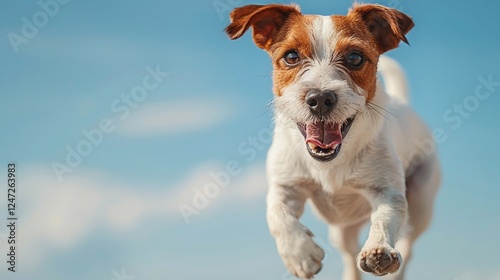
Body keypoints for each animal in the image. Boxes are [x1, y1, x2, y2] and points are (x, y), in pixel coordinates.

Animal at [225, 2, 440, 280]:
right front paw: (300, 254)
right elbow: (277, 214)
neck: (330, 163)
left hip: (422, 200)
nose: (320, 98)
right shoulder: (285, 185)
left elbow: (385, 218)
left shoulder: (387, 191)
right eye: (291, 57)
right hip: (342, 230)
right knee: (349, 253)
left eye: (355, 58)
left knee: (408, 240)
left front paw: (379, 248)